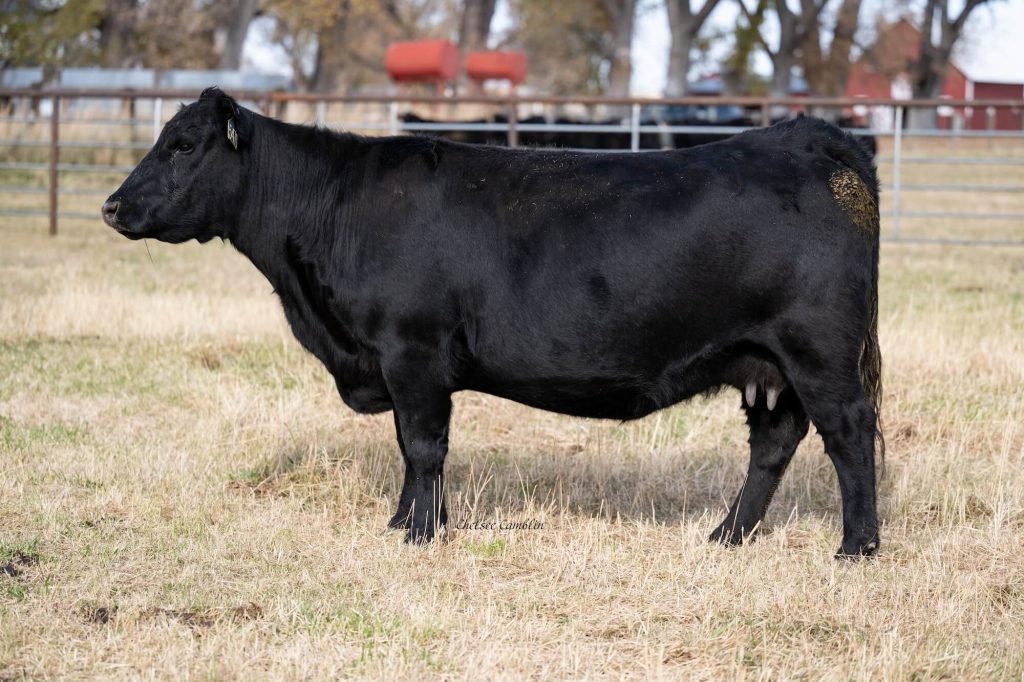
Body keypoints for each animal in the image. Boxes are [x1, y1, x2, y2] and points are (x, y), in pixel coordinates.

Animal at [102, 88, 883, 556]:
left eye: (183, 145)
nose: (112, 206)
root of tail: (808, 136)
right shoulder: (398, 364)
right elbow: (409, 448)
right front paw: (404, 521)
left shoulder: (412, 351)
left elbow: (423, 446)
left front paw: (419, 535)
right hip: (768, 364)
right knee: (773, 446)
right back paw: (726, 536)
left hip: (820, 353)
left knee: (849, 438)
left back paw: (858, 547)